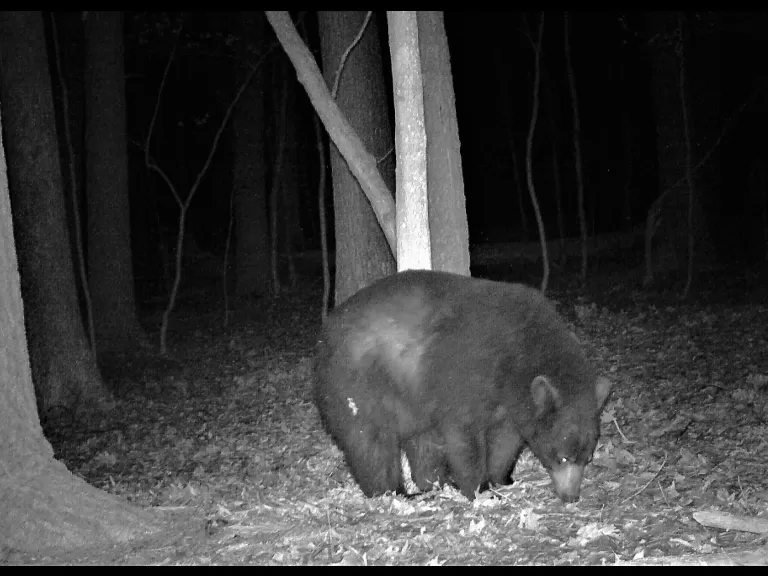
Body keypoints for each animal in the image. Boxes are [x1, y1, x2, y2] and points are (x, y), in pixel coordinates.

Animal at [313, 270, 612, 501]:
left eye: (587, 458)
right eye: (562, 457)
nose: (571, 496)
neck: (518, 356)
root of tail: (325, 333)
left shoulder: (511, 403)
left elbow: (505, 439)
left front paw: (501, 478)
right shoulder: (466, 376)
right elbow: (464, 434)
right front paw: (478, 488)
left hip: (410, 394)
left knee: (422, 441)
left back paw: (433, 483)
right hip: (359, 383)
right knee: (371, 441)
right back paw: (394, 491)